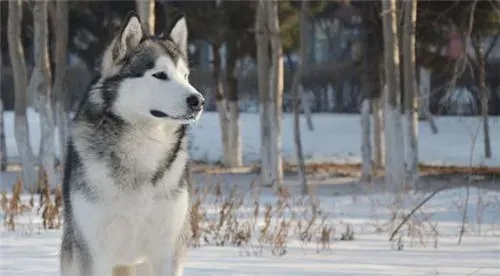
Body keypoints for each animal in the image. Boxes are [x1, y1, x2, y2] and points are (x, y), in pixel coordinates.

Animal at [59, 11, 204, 276]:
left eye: (185, 76)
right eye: (160, 74)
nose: (198, 101)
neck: (144, 147)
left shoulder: (168, 250)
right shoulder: (95, 253)